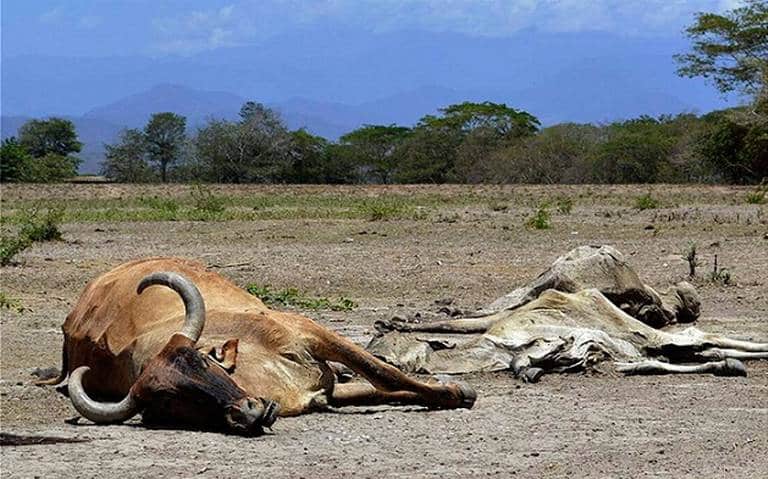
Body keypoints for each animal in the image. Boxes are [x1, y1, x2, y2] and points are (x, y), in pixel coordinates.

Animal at [42, 258, 476, 436]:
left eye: (203, 363)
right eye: (167, 401)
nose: (248, 412)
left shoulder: (312, 333)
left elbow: (384, 374)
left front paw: (457, 392)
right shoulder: (325, 395)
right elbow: (378, 387)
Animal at [368, 248, 764, 382]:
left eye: (382, 344)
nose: (371, 354)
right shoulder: (615, 351)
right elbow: (647, 364)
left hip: (634, 328)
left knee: (700, 338)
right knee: (696, 347)